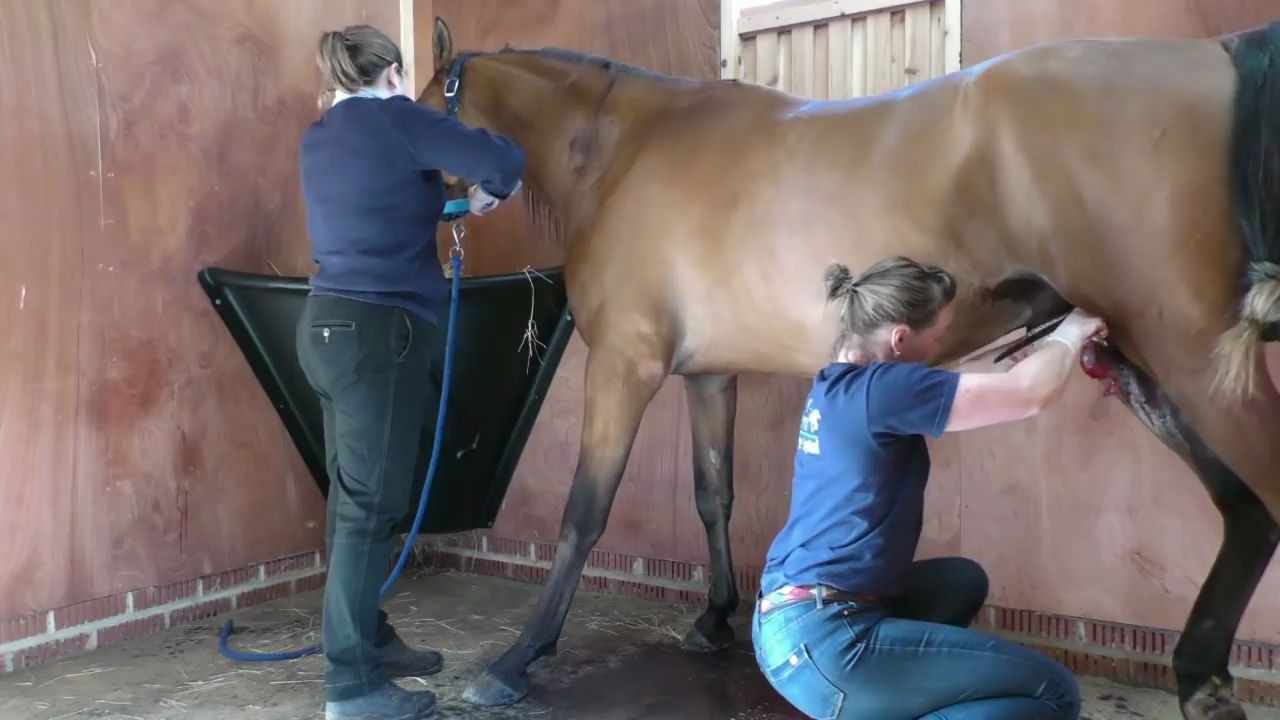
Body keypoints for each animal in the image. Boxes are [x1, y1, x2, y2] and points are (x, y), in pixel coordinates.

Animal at [419, 16, 1280, 720]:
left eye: (420, 107)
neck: (623, 152)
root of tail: (1212, 55)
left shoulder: (625, 366)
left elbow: (583, 514)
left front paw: (516, 660)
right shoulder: (708, 375)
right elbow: (712, 494)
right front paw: (714, 617)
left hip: (1190, 356)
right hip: (1143, 363)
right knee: (1247, 513)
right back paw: (1202, 680)